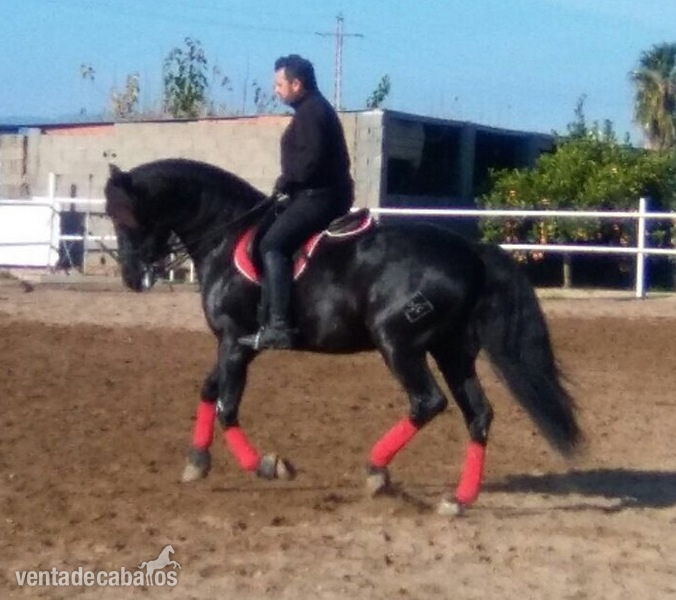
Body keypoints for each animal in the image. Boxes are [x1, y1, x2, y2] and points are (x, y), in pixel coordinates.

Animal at [104, 158, 580, 516]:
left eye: (125, 214)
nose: (131, 275)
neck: (228, 234)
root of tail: (470, 252)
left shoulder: (234, 342)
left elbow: (227, 406)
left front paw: (267, 466)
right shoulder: (237, 345)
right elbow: (208, 392)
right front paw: (197, 462)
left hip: (399, 344)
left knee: (428, 402)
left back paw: (376, 472)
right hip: (453, 352)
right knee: (478, 414)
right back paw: (457, 499)